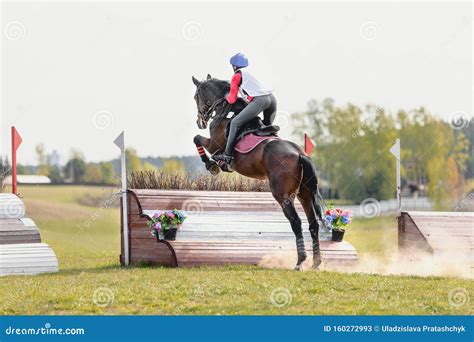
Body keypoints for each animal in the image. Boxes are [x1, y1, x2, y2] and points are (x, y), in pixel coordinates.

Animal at [191, 74, 324, 270]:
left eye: (196, 97)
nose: (199, 122)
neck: (226, 108)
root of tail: (300, 154)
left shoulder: (214, 144)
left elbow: (197, 139)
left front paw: (211, 164)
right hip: (305, 195)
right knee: (313, 224)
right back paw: (315, 263)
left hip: (282, 195)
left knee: (296, 222)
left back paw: (300, 262)